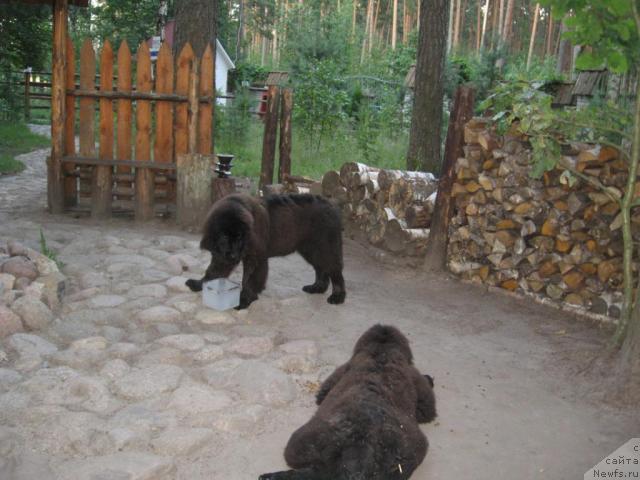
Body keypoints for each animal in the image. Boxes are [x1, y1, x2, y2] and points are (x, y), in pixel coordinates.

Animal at [185, 192, 344, 310]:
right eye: (224, 237)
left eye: (239, 237)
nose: (235, 255)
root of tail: (332, 205)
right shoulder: (222, 256)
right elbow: (212, 271)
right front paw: (199, 284)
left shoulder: (255, 257)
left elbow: (249, 279)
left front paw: (244, 299)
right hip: (311, 249)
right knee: (321, 268)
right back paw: (317, 288)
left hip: (324, 247)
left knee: (335, 270)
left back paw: (338, 296)